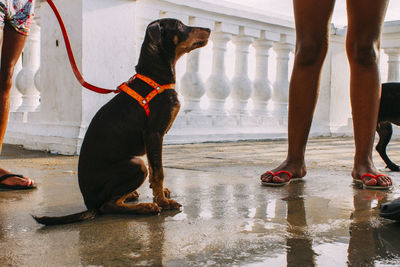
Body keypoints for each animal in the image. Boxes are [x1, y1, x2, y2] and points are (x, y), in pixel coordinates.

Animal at [32, 17, 211, 225]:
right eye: (180, 26)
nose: (209, 29)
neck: (154, 78)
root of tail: (89, 203)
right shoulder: (154, 133)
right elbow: (158, 171)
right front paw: (163, 202)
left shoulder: (152, 138)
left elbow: (154, 169)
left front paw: (160, 194)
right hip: (136, 164)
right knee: (108, 206)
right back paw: (146, 207)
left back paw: (133, 195)